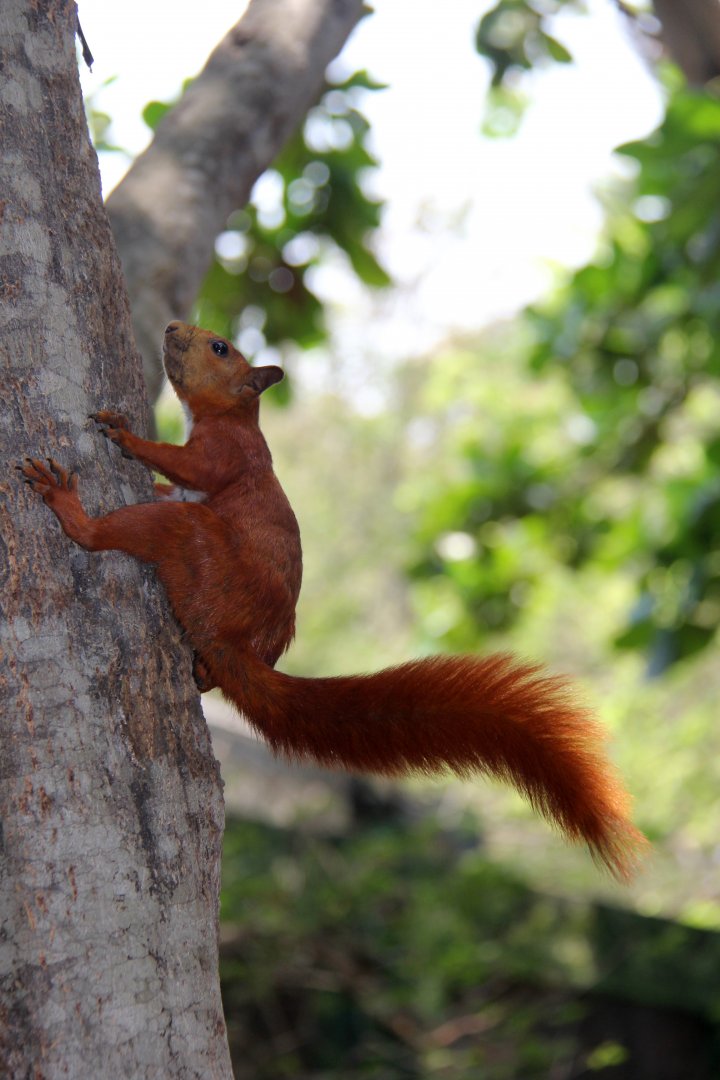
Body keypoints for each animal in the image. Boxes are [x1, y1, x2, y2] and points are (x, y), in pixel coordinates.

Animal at [21, 321, 646, 879]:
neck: (232, 417)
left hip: (197, 551)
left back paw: (68, 506)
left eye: (219, 347)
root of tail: (234, 641)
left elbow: (182, 464)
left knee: (119, 534)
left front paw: (125, 434)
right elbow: (168, 481)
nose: (173, 327)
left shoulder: (224, 456)